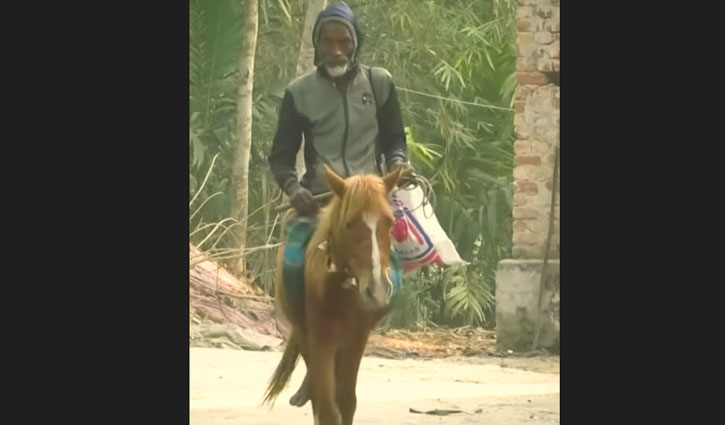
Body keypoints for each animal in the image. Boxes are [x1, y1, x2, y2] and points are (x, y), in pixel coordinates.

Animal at [264, 165, 404, 424]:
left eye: (390, 223)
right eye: (349, 224)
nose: (377, 289)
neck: (342, 291)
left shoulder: (356, 339)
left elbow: (347, 402)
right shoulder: (320, 338)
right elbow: (328, 407)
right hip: (304, 333)